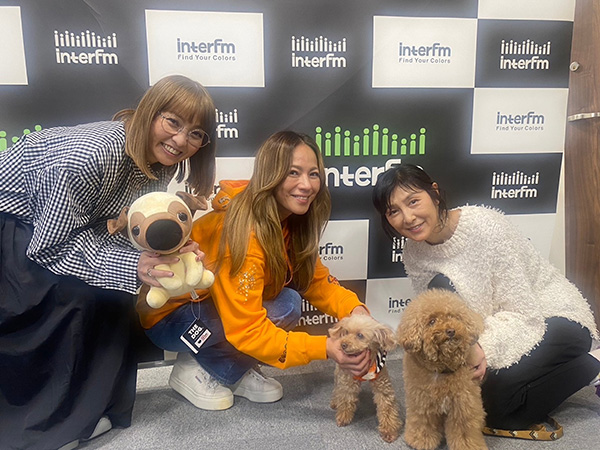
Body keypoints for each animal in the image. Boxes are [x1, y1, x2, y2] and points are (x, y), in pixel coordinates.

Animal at [329, 314, 403, 443]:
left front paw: (389, 431)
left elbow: (387, 406)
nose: (343, 344)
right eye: (346, 332)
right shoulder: (348, 381)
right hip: (339, 372)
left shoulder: (383, 386)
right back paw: (335, 402)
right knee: (337, 389)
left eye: (360, 335)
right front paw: (343, 417)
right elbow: (345, 398)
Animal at [397, 289, 487, 450]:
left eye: (453, 316)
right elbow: (423, 423)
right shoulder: (422, 401)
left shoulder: (463, 403)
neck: (441, 370)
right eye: (432, 321)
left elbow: (464, 429)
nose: (451, 331)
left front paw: (467, 446)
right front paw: (421, 441)